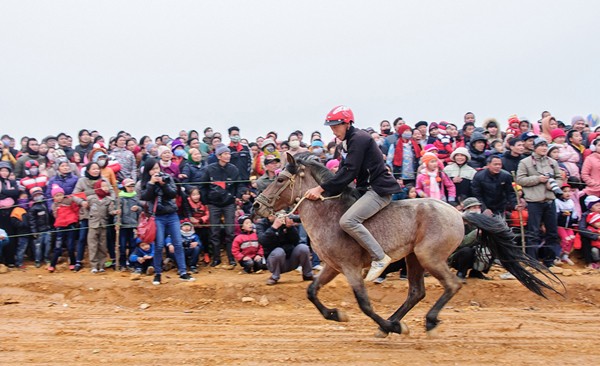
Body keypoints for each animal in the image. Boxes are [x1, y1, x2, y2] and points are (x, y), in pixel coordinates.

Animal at [254, 152, 564, 338]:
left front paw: (389, 326)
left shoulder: (351, 269)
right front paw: (337, 315)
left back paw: (426, 321)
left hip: (429, 257)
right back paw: (399, 321)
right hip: (414, 258)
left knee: (452, 284)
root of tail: (458, 213)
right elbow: (311, 292)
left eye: (280, 178)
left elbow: (364, 304)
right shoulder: (332, 266)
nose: (257, 206)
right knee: (417, 292)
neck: (328, 213)